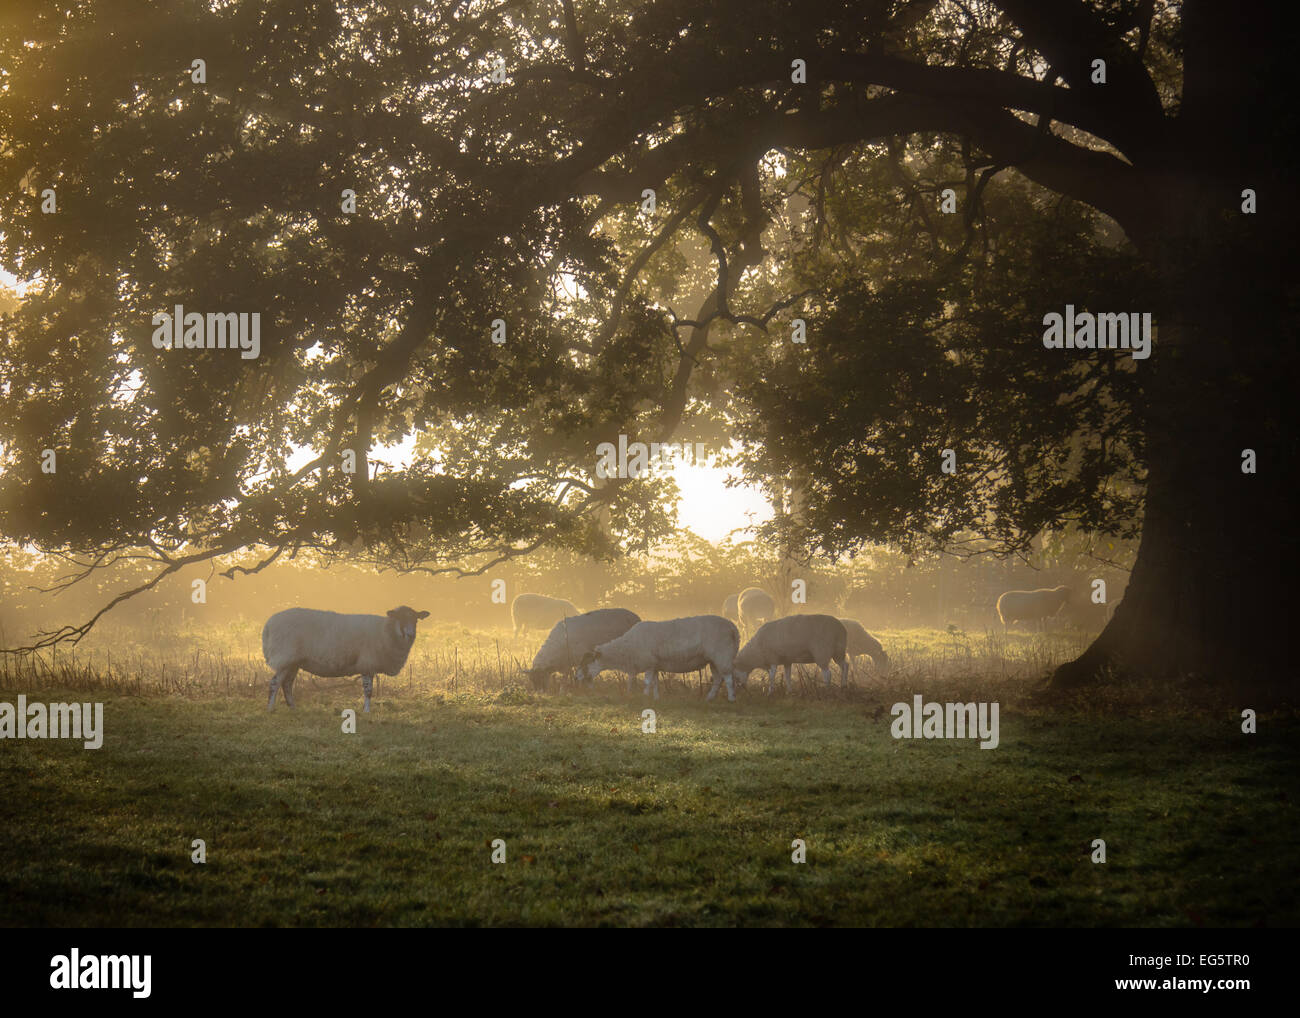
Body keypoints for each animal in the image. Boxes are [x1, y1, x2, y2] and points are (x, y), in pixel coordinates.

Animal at [260, 608, 431, 712]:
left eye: (416, 620)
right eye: (400, 618)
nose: (410, 634)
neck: (386, 631)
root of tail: (268, 626)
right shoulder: (367, 664)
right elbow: (368, 691)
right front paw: (367, 711)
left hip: (293, 661)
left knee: (287, 684)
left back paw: (293, 708)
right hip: (284, 657)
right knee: (275, 683)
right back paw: (270, 709)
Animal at [579, 616, 743, 707]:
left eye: (587, 663)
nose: (577, 678)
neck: (627, 649)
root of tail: (733, 628)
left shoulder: (648, 662)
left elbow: (647, 682)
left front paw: (644, 697)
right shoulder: (655, 665)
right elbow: (655, 683)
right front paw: (656, 698)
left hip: (722, 654)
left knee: (728, 679)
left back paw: (731, 699)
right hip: (714, 659)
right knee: (718, 679)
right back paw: (709, 698)